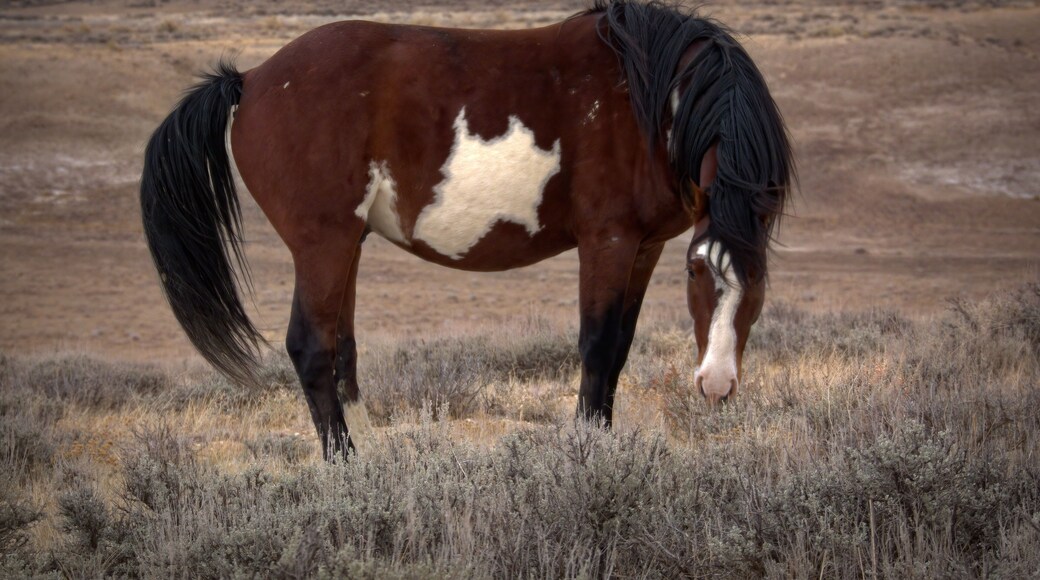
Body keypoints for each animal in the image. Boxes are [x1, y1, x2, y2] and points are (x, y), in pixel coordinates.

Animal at [140, 0, 794, 460]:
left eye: (758, 283)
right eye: (698, 270)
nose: (716, 385)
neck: (650, 100)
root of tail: (250, 79)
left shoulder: (644, 247)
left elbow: (619, 350)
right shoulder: (608, 241)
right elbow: (597, 345)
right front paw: (588, 452)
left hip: (346, 246)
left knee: (340, 349)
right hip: (321, 245)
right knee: (310, 346)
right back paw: (344, 466)